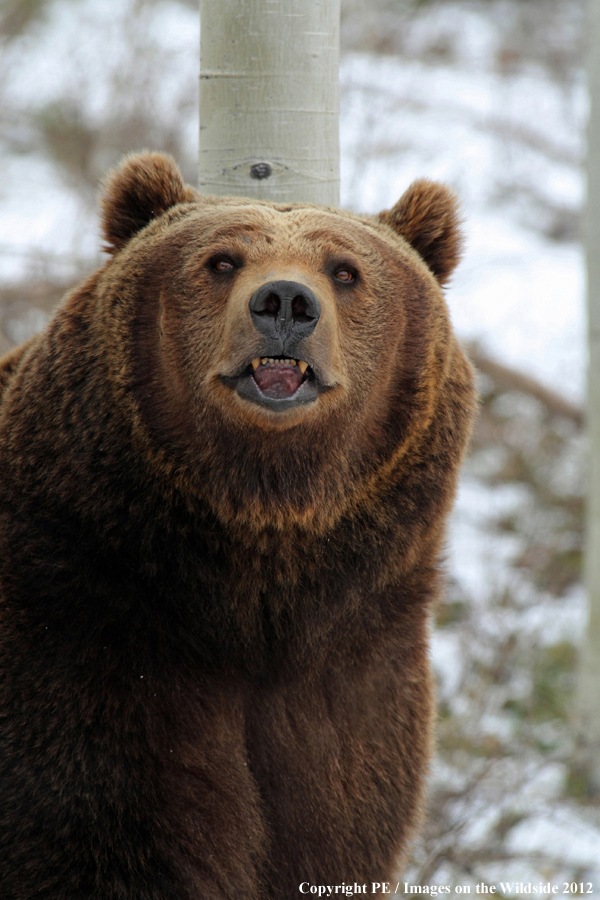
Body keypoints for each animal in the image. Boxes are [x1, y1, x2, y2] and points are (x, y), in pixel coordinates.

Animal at [0, 151, 478, 896]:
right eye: (222, 260)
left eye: (346, 270)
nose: (284, 303)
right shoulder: (83, 648)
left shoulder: (353, 697)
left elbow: (328, 836)